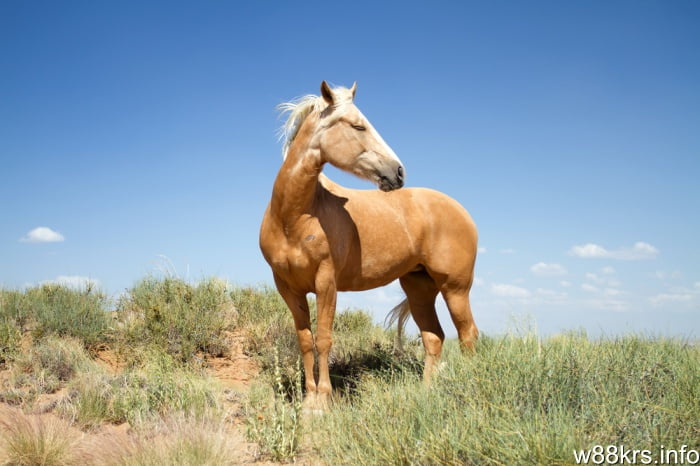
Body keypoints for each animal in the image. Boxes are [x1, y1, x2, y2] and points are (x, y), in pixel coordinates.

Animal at [260, 82, 478, 410]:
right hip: (419, 288)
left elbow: (323, 338)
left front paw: (323, 402)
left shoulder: (326, 283)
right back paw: (427, 393)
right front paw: (309, 399)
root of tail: (463, 212)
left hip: (456, 288)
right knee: (434, 337)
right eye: (358, 125)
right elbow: (305, 340)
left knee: (468, 336)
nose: (398, 172)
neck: (293, 217)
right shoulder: (288, 287)